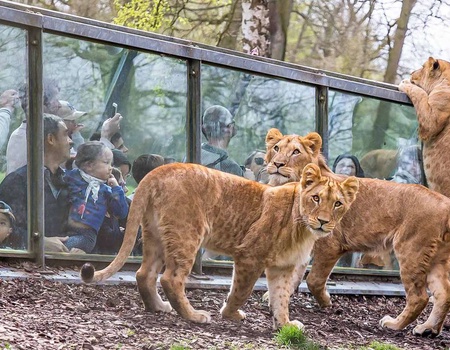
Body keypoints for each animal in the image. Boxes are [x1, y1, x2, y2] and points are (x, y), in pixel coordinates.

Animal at [79, 163, 356, 330]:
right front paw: (230, 314)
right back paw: (194, 316)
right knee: (170, 279)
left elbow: (281, 298)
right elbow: (241, 291)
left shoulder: (283, 268)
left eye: (338, 204)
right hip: (187, 235)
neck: (303, 229)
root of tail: (160, 169)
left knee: (143, 274)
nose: (323, 222)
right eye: (316, 198)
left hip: (155, 235)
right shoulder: (249, 256)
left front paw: (285, 325)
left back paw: (158, 307)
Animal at [266, 129, 450, 336]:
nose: (277, 164)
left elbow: (314, 279)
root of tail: (445, 203)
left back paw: (394, 324)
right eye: (276, 148)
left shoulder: (330, 245)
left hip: (411, 251)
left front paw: (326, 301)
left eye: (296, 152)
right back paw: (428, 329)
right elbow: (294, 275)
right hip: (436, 258)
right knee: (444, 294)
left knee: (419, 297)